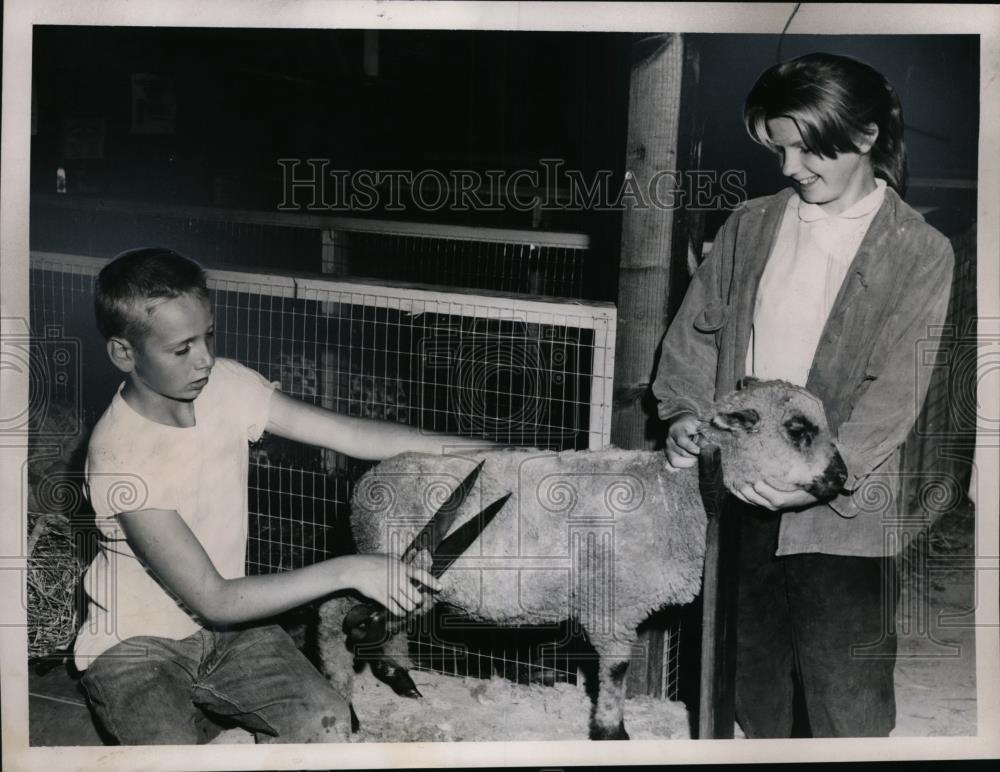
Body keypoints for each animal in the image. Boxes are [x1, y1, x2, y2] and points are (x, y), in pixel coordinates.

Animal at [318, 380, 844, 740]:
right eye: (798, 431)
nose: (843, 477)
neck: (672, 495)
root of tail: (367, 482)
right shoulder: (610, 607)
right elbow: (615, 673)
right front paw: (612, 732)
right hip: (386, 563)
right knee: (329, 616)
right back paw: (344, 702)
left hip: (410, 575)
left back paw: (399, 677)